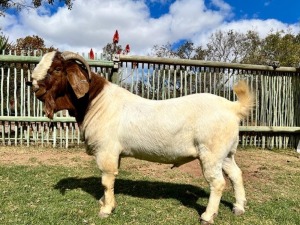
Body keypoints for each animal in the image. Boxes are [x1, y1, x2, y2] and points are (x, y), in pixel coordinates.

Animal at [28, 51, 253, 225]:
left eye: (57, 69)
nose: (32, 84)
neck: (96, 102)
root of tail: (233, 107)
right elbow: (109, 181)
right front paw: (103, 201)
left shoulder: (106, 151)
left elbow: (106, 180)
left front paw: (106, 209)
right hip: (226, 153)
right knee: (236, 174)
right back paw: (239, 207)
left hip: (211, 152)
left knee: (218, 182)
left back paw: (207, 215)